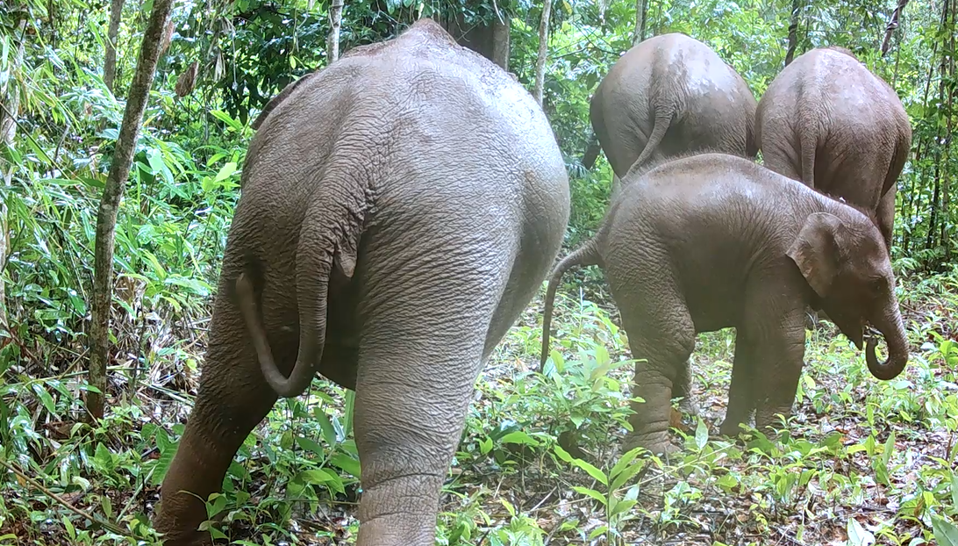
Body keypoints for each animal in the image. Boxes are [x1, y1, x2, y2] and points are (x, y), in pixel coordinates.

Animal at [539, 153, 909, 455]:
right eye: (877, 285)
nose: (873, 340)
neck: (822, 205)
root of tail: (603, 230)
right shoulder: (777, 263)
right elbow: (782, 341)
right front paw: (775, 445)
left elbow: (750, 339)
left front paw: (736, 435)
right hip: (642, 254)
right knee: (674, 336)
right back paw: (654, 453)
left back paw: (684, 423)